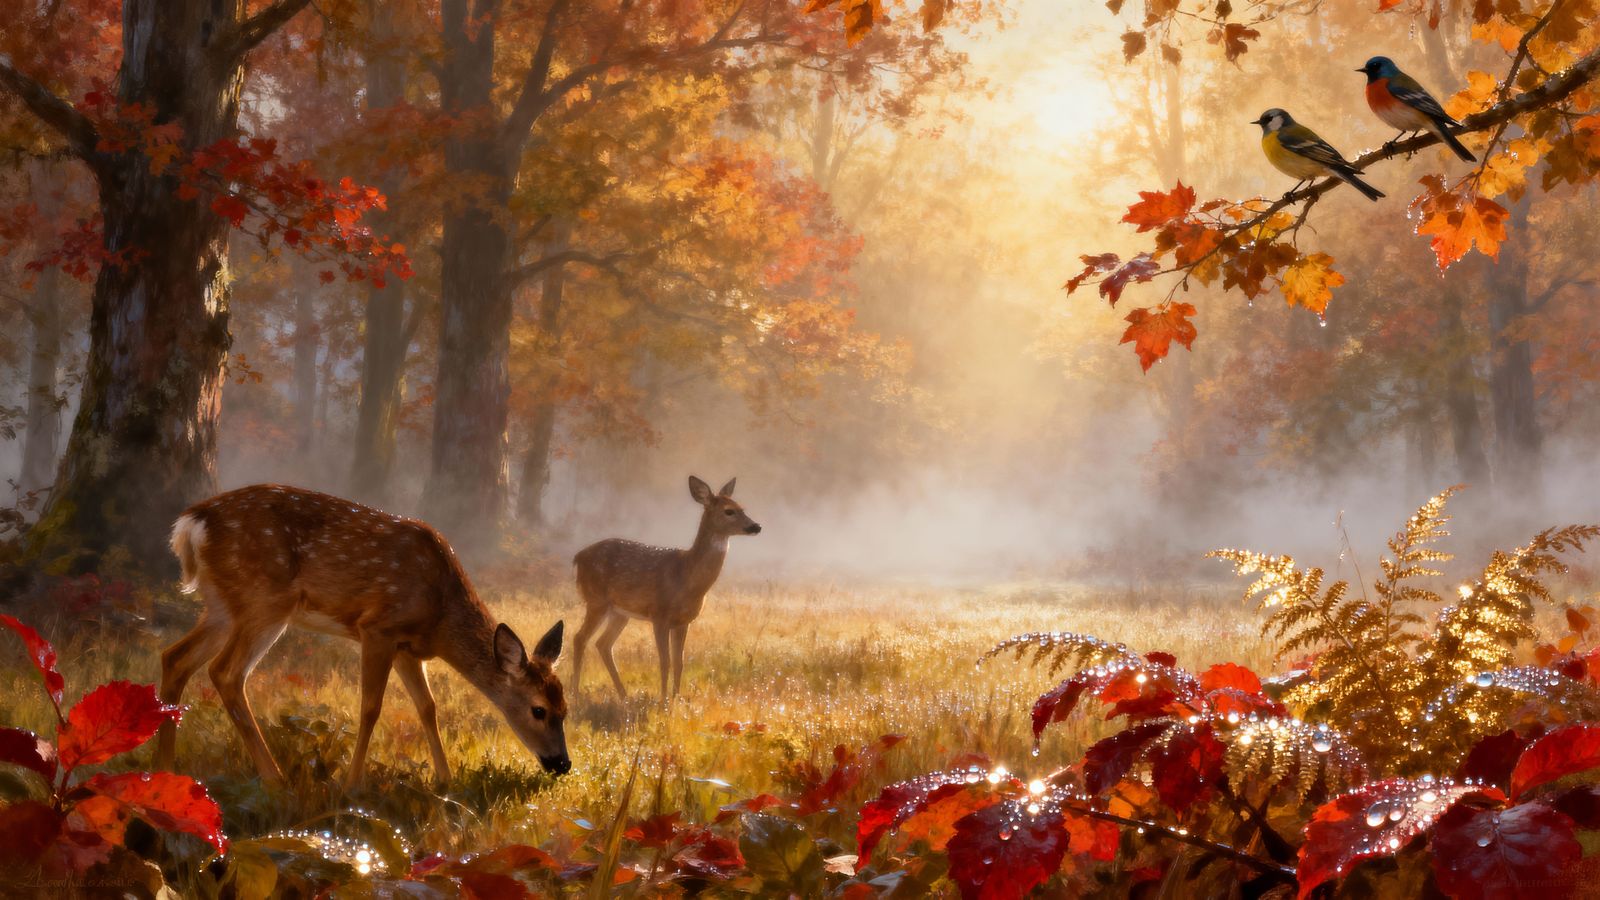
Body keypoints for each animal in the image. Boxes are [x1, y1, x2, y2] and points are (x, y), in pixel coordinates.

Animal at [153, 484, 570, 789]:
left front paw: (446, 780)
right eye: (538, 710)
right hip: (264, 600)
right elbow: (370, 707)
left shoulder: (407, 649)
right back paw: (276, 779)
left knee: (175, 657)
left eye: (566, 709)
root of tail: (193, 523)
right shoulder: (378, 627)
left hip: (223, 605)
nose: (563, 763)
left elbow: (428, 707)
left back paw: (166, 771)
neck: (441, 616)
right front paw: (353, 784)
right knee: (225, 672)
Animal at [571, 476, 761, 700]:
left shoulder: (683, 621)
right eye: (729, 511)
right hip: (596, 600)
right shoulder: (659, 615)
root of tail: (578, 557)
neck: (686, 578)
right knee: (579, 638)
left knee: (603, 644)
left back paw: (623, 695)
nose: (756, 526)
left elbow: (679, 662)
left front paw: (676, 698)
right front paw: (663, 700)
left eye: (743, 508)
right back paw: (574, 693)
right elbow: (665, 662)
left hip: (619, 612)